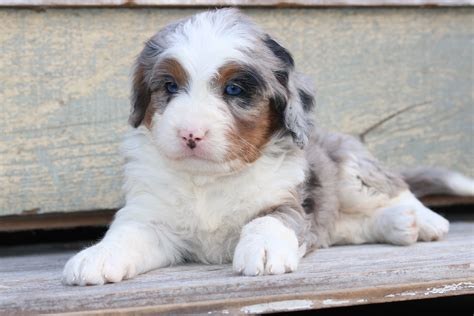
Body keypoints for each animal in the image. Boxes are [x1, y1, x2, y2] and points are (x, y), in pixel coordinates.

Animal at [61, 8, 472, 286]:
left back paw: (424, 220)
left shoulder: (289, 202)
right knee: (347, 226)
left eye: (234, 89)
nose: (190, 134)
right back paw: (399, 225)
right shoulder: (152, 218)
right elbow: (126, 234)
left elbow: (267, 220)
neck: (208, 181)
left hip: (352, 168)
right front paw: (96, 258)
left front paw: (263, 251)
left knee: (395, 188)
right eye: (170, 87)